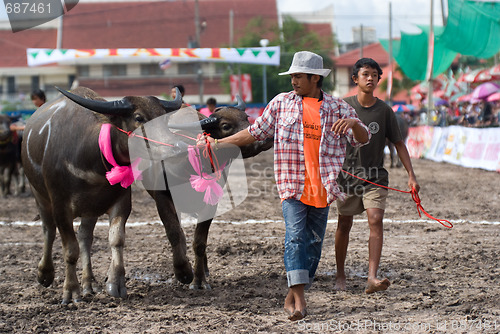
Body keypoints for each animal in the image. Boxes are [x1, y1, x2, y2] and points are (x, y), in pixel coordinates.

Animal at [22, 85, 182, 302]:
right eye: (138, 117)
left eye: (164, 117)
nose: (177, 147)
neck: (93, 162)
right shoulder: (60, 206)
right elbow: (69, 249)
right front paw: (70, 291)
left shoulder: (121, 202)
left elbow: (116, 239)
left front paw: (116, 283)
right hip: (39, 195)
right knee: (49, 230)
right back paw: (45, 274)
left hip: (90, 208)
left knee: (85, 237)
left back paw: (89, 283)